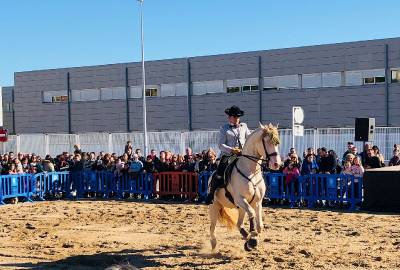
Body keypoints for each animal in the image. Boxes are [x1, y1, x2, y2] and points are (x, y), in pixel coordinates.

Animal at [209, 123, 282, 252]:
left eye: (277, 142)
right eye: (267, 141)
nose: (276, 164)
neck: (251, 172)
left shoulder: (257, 202)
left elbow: (259, 225)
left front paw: (252, 239)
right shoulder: (240, 199)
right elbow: (252, 214)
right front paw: (252, 236)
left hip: (241, 208)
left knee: (239, 224)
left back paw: (246, 238)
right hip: (215, 206)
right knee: (212, 227)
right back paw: (214, 243)